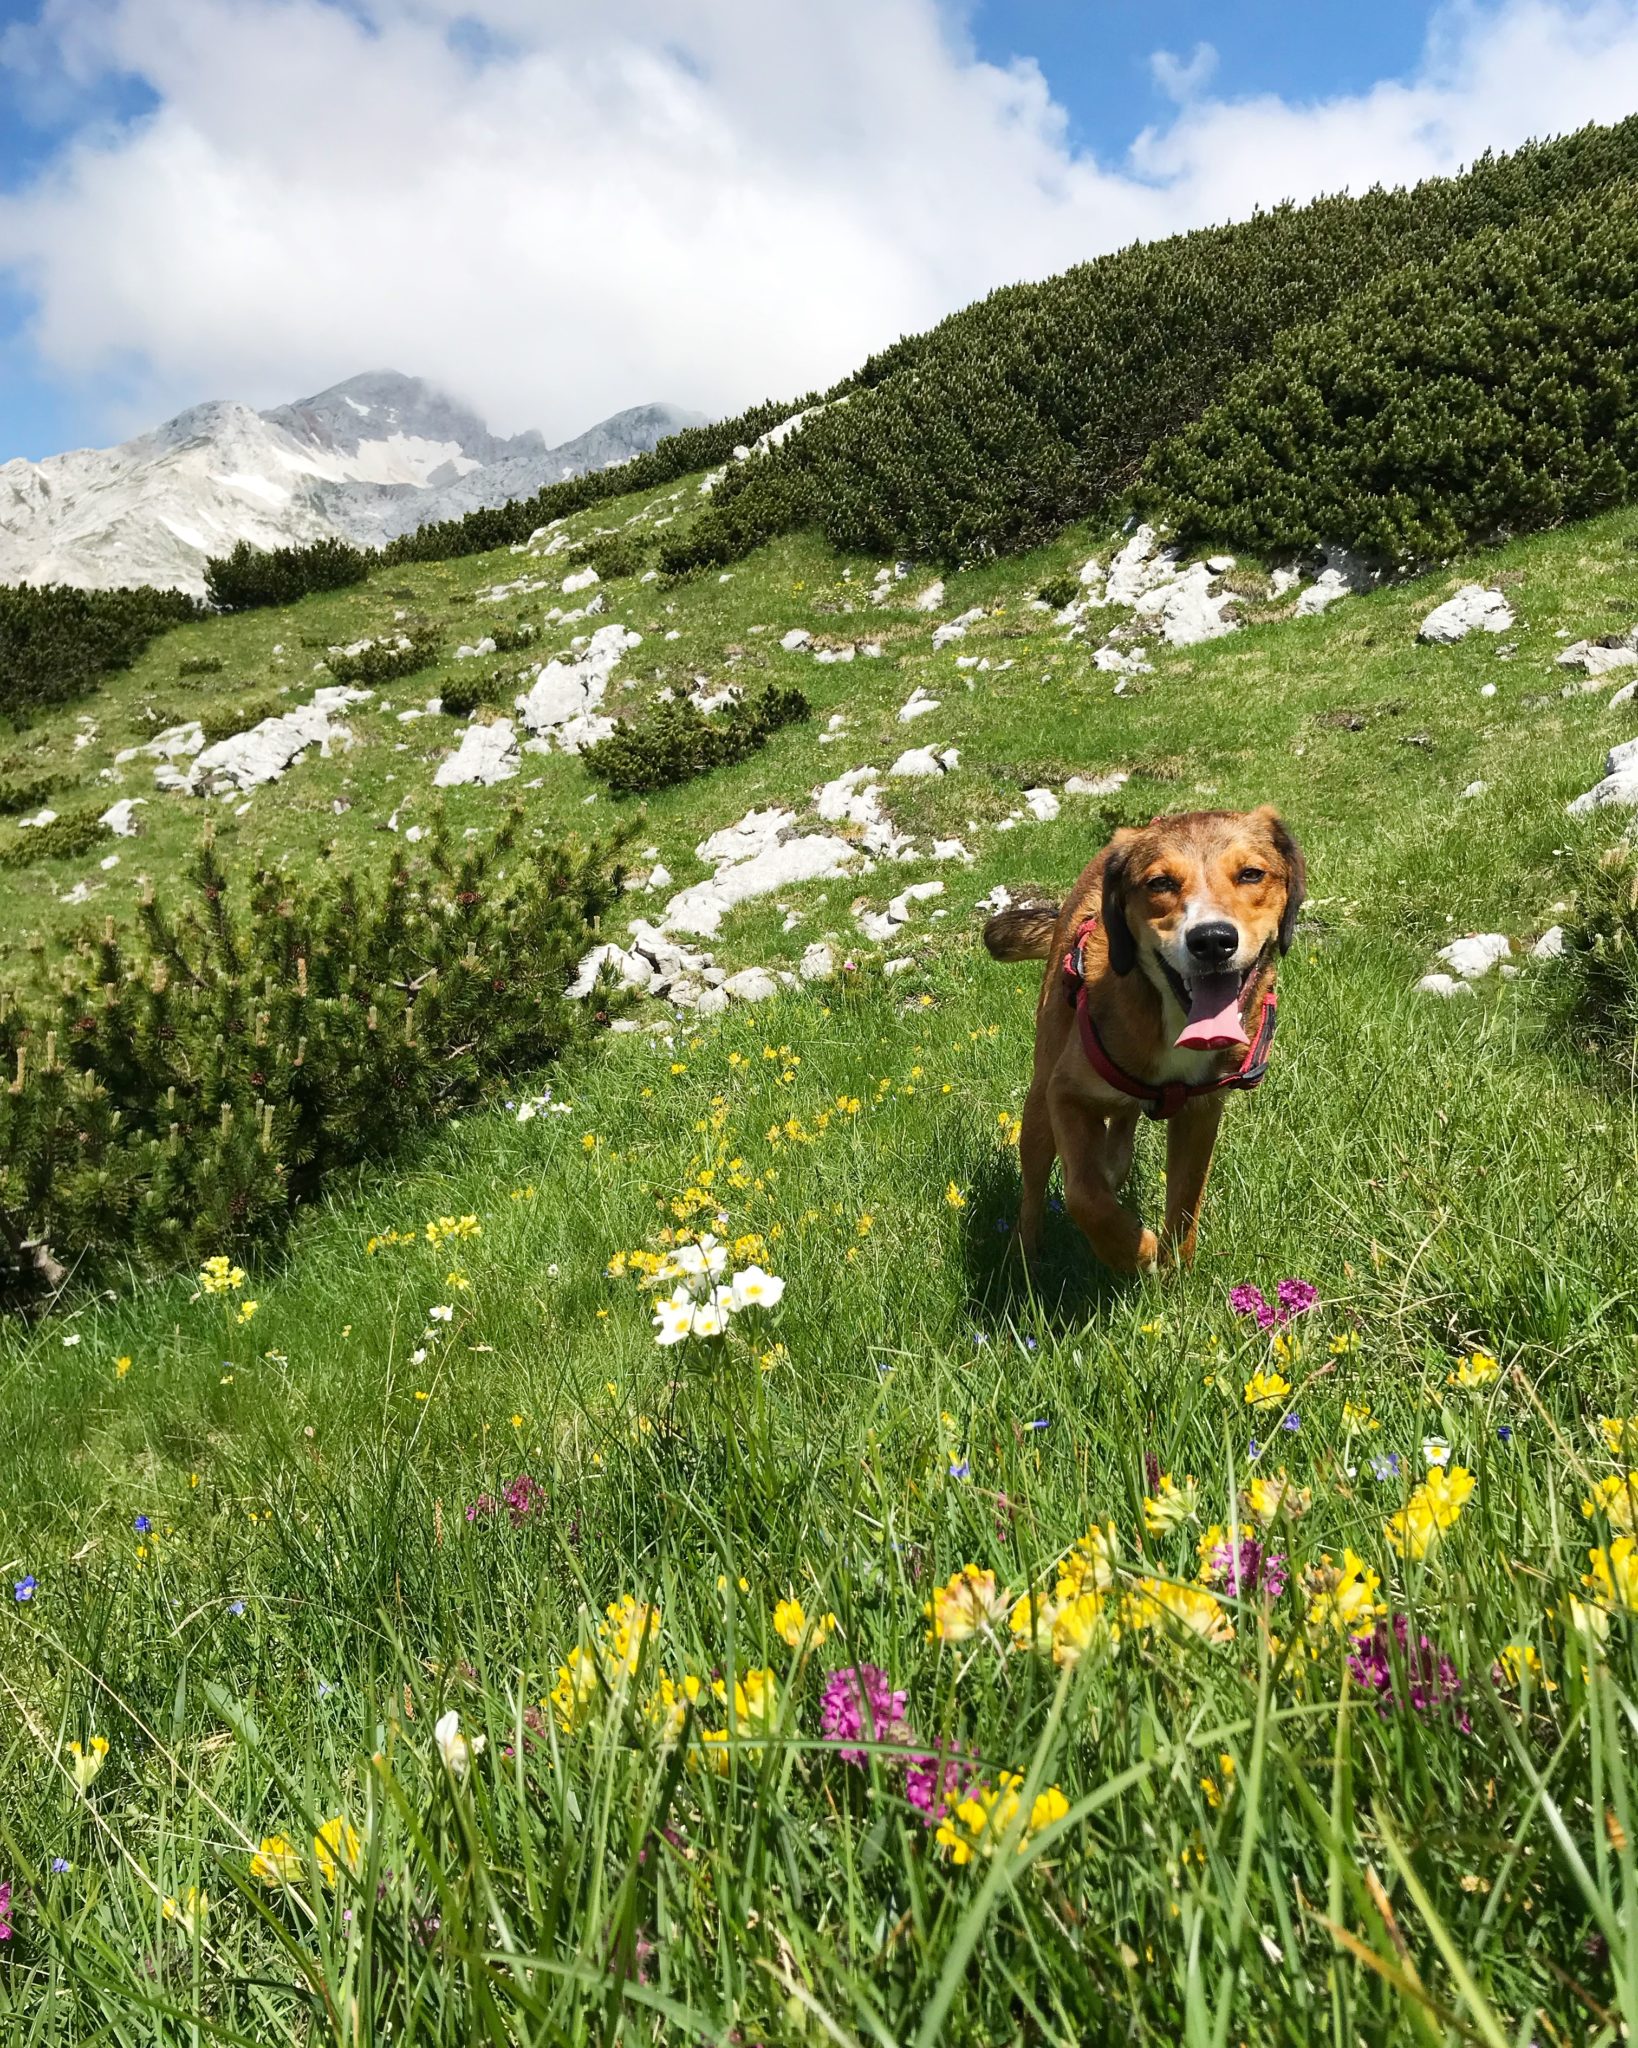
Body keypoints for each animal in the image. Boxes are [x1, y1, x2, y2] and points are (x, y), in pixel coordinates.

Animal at [986, 806, 1302, 1269]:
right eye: (1160, 883)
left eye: (1251, 874)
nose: (1213, 941)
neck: (1169, 1017)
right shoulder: (1065, 1093)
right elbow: (1084, 1195)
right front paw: (1135, 1251)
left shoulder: (1201, 1110)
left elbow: (1186, 1203)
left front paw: (1176, 1271)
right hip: (1039, 1099)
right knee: (1034, 1186)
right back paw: (1024, 1256)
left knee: (1122, 1124)